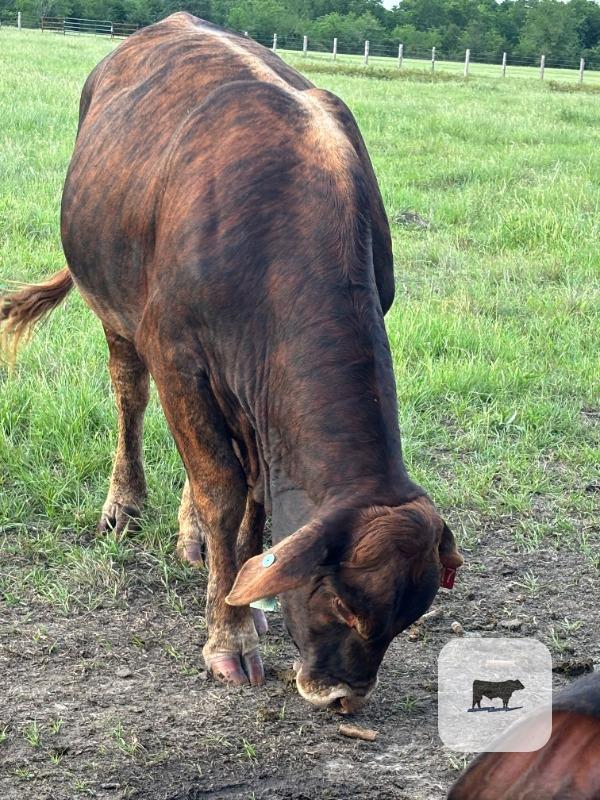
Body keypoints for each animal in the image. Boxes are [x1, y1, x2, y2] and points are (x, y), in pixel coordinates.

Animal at [0, 13, 463, 712]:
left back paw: (193, 538)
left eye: (407, 617)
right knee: (130, 397)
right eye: (342, 604)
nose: (342, 697)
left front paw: (243, 583)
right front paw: (229, 633)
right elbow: (223, 489)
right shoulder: (178, 357)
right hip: (114, 308)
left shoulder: (256, 389)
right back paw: (125, 505)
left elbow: (255, 493)